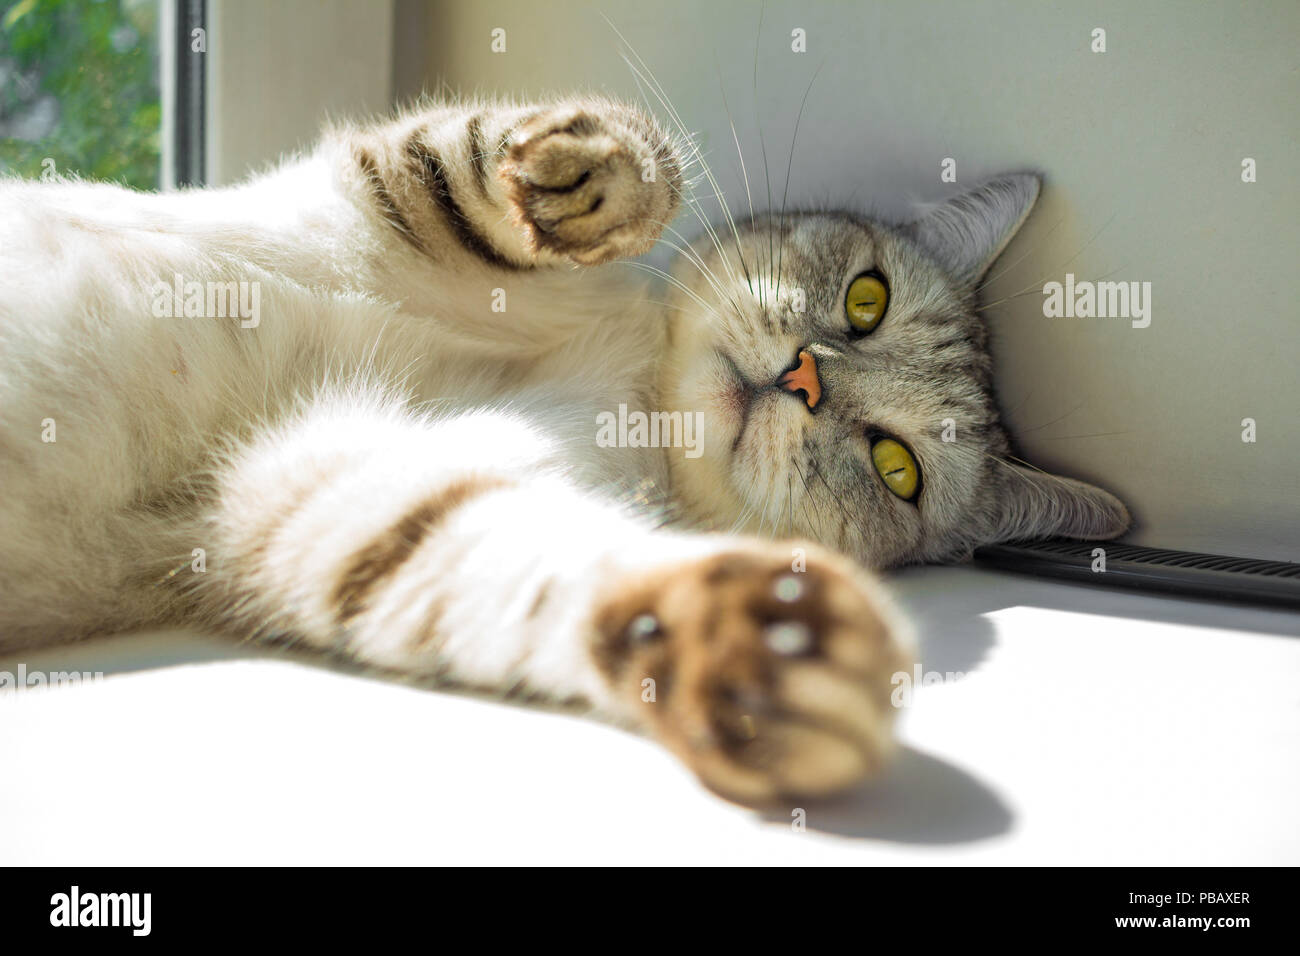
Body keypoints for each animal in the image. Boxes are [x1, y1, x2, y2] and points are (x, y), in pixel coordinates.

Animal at [0, 97, 1128, 806]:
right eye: (867, 297)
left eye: (897, 468)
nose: (802, 381)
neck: (630, 382)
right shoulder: (361, 197)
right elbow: (470, 157)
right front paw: (592, 175)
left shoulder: (327, 487)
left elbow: (543, 567)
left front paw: (758, 643)